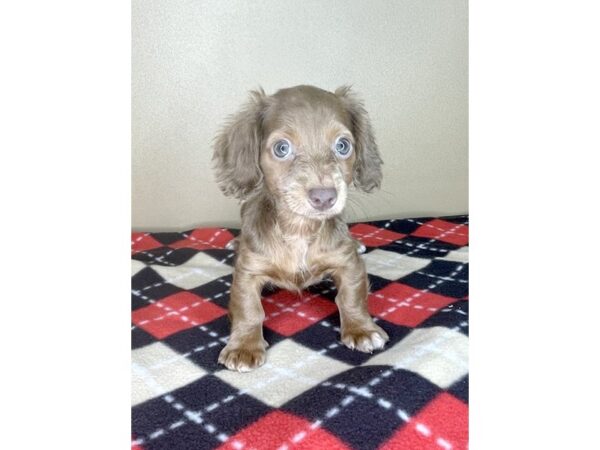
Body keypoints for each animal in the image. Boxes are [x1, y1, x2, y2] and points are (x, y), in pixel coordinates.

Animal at [213, 85, 392, 372]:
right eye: (282, 148)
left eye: (343, 146)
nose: (324, 197)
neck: (300, 228)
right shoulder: (247, 272)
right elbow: (249, 309)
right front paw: (244, 347)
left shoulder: (349, 264)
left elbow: (351, 297)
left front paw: (361, 329)